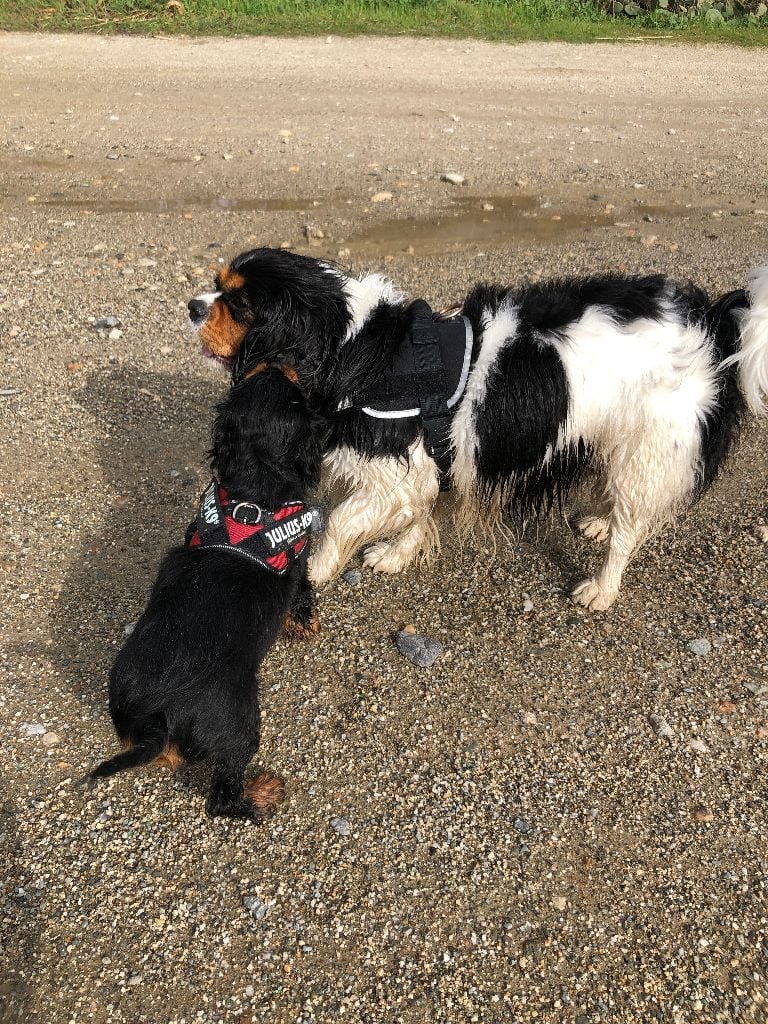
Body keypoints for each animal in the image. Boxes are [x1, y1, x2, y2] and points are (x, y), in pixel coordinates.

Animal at [86, 364, 325, 819]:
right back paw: (261, 794)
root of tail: (160, 717)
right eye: (299, 396)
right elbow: (303, 589)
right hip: (240, 722)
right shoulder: (300, 558)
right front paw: (305, 621)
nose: (278, 363)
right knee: (222, 796)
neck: (252, 492)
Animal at [188, 249, 768, 606]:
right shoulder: (428, 464)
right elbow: (419, 512)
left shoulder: (395, 472)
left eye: (240, 304)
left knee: (632, 523)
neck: (352, 347)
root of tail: (711, 320)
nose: (192, 305)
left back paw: (602, 586)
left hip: (649, 443)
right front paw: (397, 554)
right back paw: (602, 522)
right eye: (217, 288)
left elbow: (339, 520)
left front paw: (314, 570)